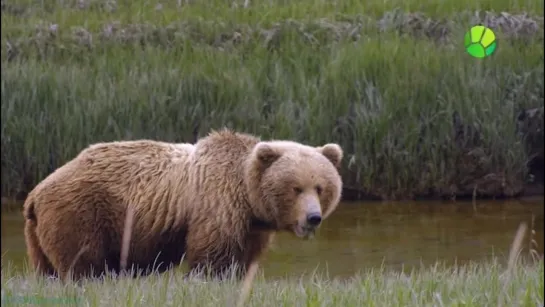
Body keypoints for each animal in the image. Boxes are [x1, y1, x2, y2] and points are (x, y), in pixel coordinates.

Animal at [24, 129, 344, 282]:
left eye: (321, 187)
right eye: (296, 188)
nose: (313, 217)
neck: (247, 196)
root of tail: (35, 193)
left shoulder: (251, 228)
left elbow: (243, 259)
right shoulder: (217, 206)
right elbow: (212, 256)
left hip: (38, 233)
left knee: (47, 268)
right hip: (81, 213)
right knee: (83, 264)